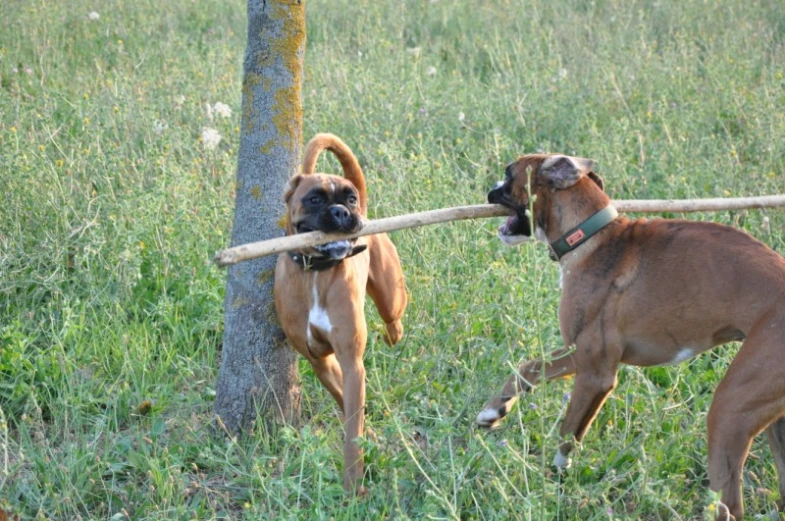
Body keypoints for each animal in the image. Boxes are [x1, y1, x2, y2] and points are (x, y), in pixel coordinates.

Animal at [272, 132, 408, 494]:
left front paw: (352, 485)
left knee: (394, 320)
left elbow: (352, 427)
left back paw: (392, 334)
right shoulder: (320, 360)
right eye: (314, 199)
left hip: (391, 296)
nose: (340, 210)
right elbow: (347, 406)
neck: (317, 272)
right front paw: (367, 434)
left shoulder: (351, 362)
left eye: (349, 198)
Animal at [474, 152, 784, 516]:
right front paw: (493, 411)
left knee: (730, 505)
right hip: (774, 422)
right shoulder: (581, 356)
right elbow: (528, 368)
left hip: (730, 411)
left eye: (509, 174)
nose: (489, 190)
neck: (590, 237)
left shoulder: (595, 373)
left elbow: (567, 434)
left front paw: (557, 483)